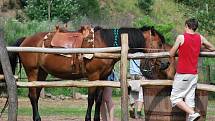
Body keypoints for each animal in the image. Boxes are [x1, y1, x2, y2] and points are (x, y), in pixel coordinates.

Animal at [13, 25, 168, 120]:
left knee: (35, 96)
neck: (105, 45)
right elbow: (91, 99)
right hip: (32, 72)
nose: (166, 64)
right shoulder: (93, 77)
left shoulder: (103, 78)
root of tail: (25, 39)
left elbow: (98, 100)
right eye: (160, 43)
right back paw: (37, 118)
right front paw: (88, 118)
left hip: (42, 73)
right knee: (33, 96)